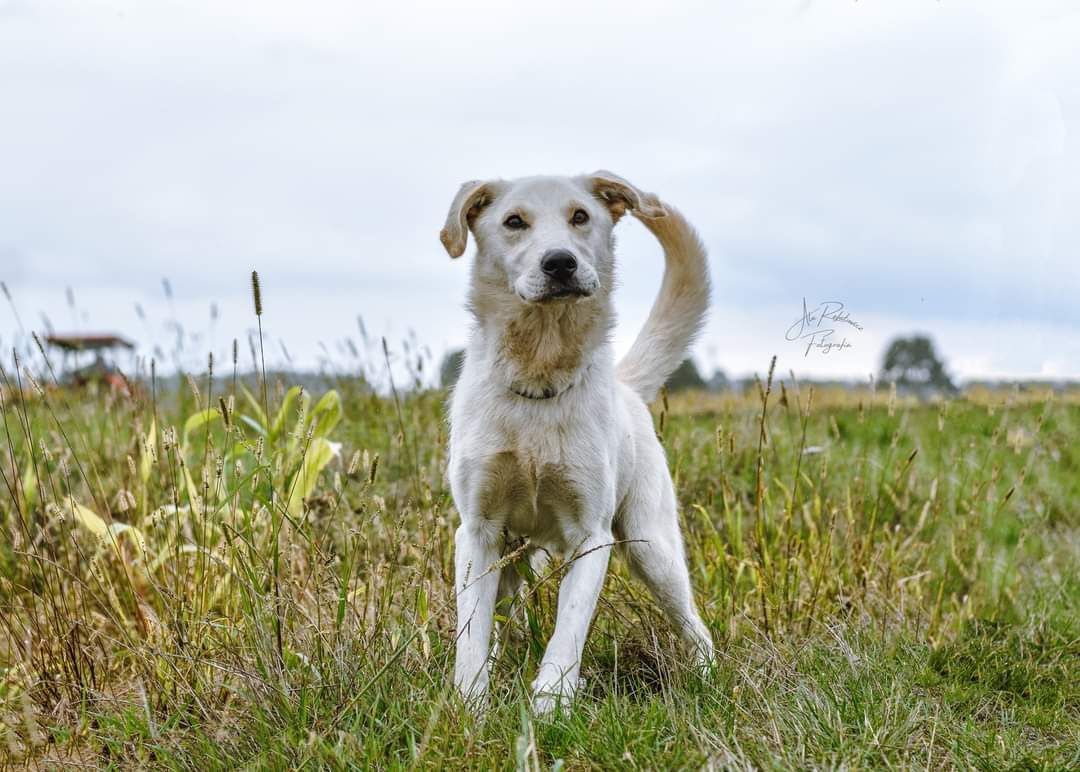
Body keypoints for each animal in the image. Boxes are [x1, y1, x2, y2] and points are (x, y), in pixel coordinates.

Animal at [442, 171, 712, 716]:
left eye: (580, 216)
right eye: (514, 222)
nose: (560, 262)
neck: (540, 375)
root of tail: (627, 387)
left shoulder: (592, 536)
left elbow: (568, 630)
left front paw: (550, 705)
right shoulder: (478, 533)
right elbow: (471, 634)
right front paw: (471, 707)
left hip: (653, 549)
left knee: (696, 626)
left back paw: (707, 680)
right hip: (513, 557)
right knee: (504, 619)